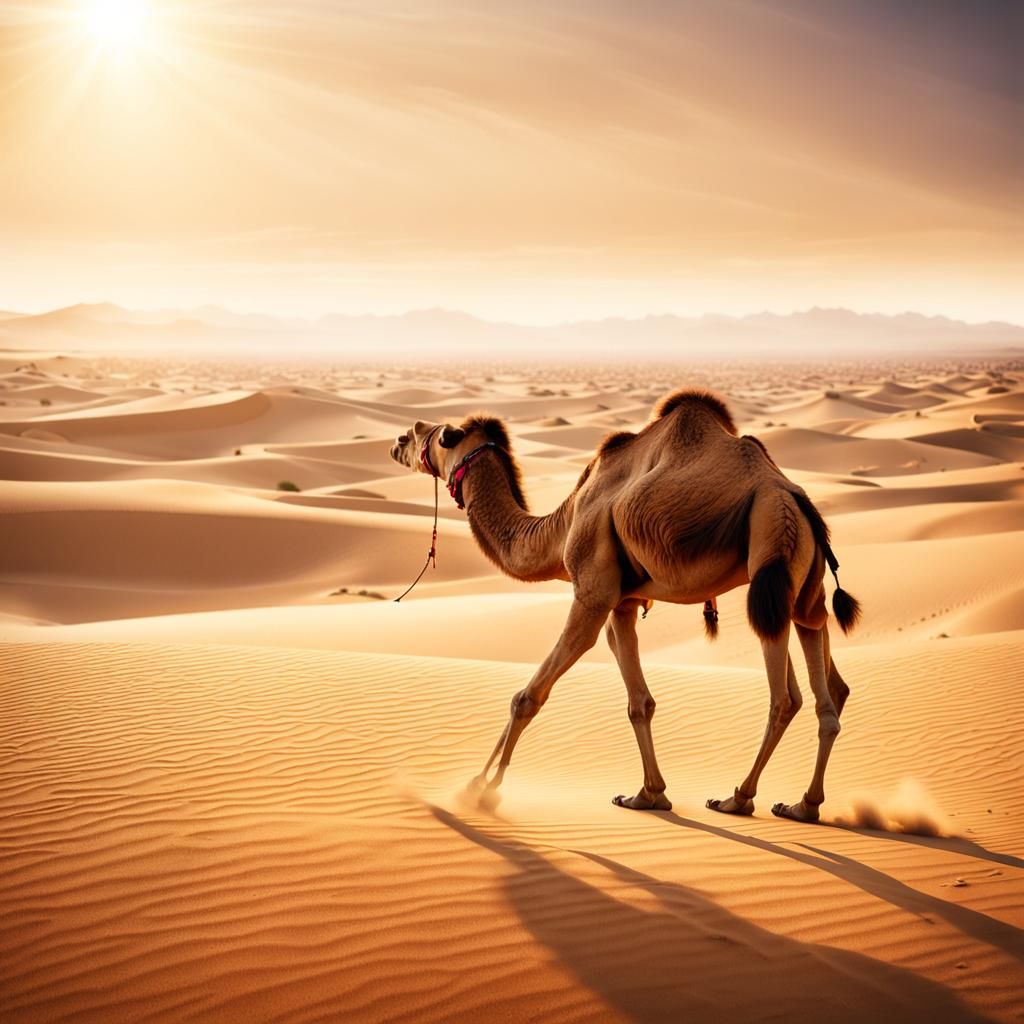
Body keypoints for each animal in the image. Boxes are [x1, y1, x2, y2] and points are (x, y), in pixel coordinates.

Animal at [389, 389, 861, 823]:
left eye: (431, 433)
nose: (397, 440)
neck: (561, 525)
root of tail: (795, 499)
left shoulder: (591, 591)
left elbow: (528, 695)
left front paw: (479, 789)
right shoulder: (625, 601)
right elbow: (639, 701)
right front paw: (648, 795)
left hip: (768, 544)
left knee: (784, 698)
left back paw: (738, 799)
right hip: (802, 583)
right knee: (825, 676)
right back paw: (803, 804)